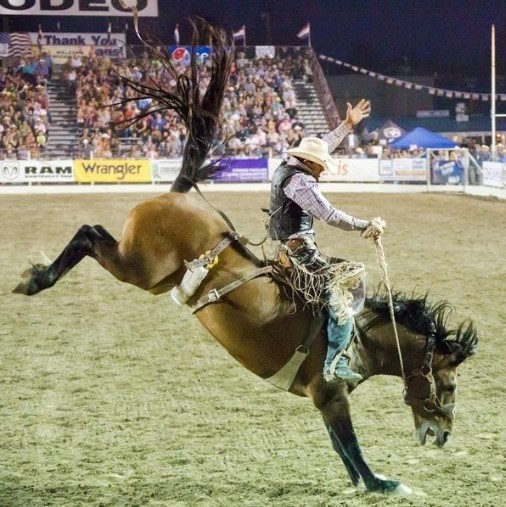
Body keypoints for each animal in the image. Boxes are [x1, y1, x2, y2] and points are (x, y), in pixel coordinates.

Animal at [12, 20, 478, 496]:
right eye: (449, 385)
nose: (442, 435)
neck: (362, 335)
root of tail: (178, 192)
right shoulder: (331, 394)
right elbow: (351, 444)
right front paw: (384, 483)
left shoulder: (322, 400)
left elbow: (340, 449)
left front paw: (363, 483)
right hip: (138, 268)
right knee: (88, 234)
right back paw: (35, 280)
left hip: (146, 271)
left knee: (94, 233)